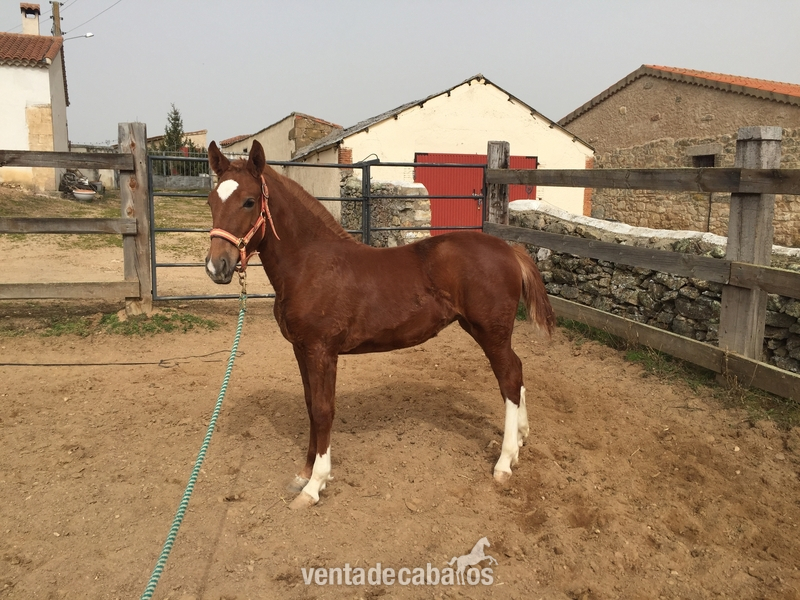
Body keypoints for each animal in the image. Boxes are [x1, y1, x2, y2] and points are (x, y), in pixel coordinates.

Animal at [204, 140, 555, 509]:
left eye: (249, 201)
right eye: (211, 200)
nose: (217, 266)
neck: (310, 264)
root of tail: (510, 249)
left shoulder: (322, 351)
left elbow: (324, 410)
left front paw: (315, 485)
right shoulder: (301, 349)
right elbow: (311, 406)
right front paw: (303, 474)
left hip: (491, 333)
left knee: (510, 378)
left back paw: (504, 462)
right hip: (481, 330)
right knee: (517, 372)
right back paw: (521, 440)